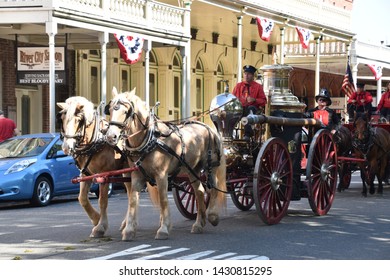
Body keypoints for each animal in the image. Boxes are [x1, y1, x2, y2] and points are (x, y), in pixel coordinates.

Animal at [56, 97, 133, 240]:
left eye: (78, 120)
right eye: (62, 118)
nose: (66, 147)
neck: (94, 142)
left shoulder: (103, 175)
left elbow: (102, 201)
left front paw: (100, 227)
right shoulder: (86, 174)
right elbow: (82, 199)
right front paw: (96, 219)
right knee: (131, 195)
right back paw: (126, 224)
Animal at [105, 88, 227, 241]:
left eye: (126, 111)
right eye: (110, 109)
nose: (111, 136)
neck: (150, 139)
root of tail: (208, 127)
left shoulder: (161, 175)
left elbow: (163, 199)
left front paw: (163, 229)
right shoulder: (137, 175)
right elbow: (132, 199)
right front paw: (129, 230)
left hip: (211, 165)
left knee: (213, 187)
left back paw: (212, 216)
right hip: (192, 169)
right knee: (199, 191)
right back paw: (199, 224)